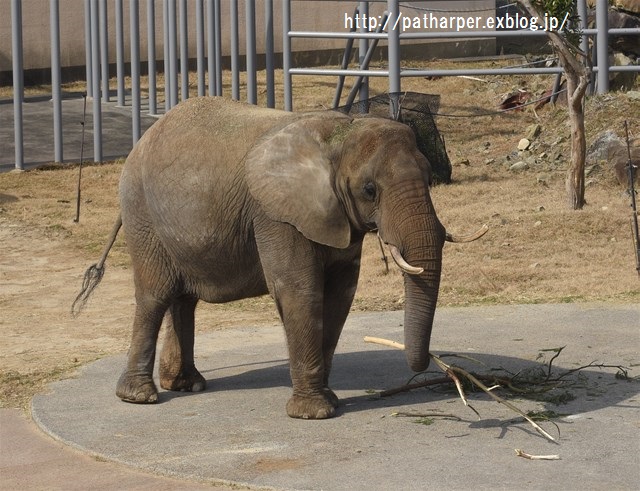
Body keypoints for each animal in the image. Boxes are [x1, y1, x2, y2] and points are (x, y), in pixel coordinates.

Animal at [74, 98, 484, 420]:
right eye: (370, 190)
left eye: (430, 177)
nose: (430, 365)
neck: (340, 134)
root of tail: (141, 141)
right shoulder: (275, 215)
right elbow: (299, 289)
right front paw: (315, 413)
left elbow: (340, 294)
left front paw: (330, 401)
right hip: (142, 214)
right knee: (155, 294)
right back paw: (140, 397)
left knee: (183, 299)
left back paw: (187, 385)